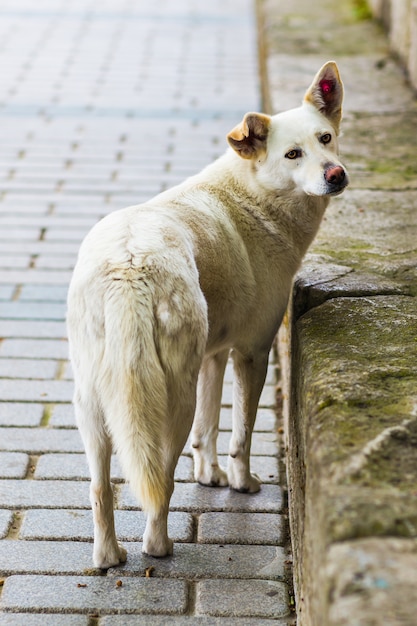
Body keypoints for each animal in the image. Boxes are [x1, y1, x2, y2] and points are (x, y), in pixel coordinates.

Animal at [67, 59, 348, 564]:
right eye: (292, 154)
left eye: (326, 138)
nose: (336, 175)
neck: (254, 197)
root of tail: (128, 266)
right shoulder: (252, 353)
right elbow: (240, 433)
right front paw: (240, 483)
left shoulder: (212, 355)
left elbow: (210, 426)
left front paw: (209, 475)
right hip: (169, 399)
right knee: (159, 481)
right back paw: (158, 547)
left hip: (94, 400)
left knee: (101, 488)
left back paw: (108, 557)